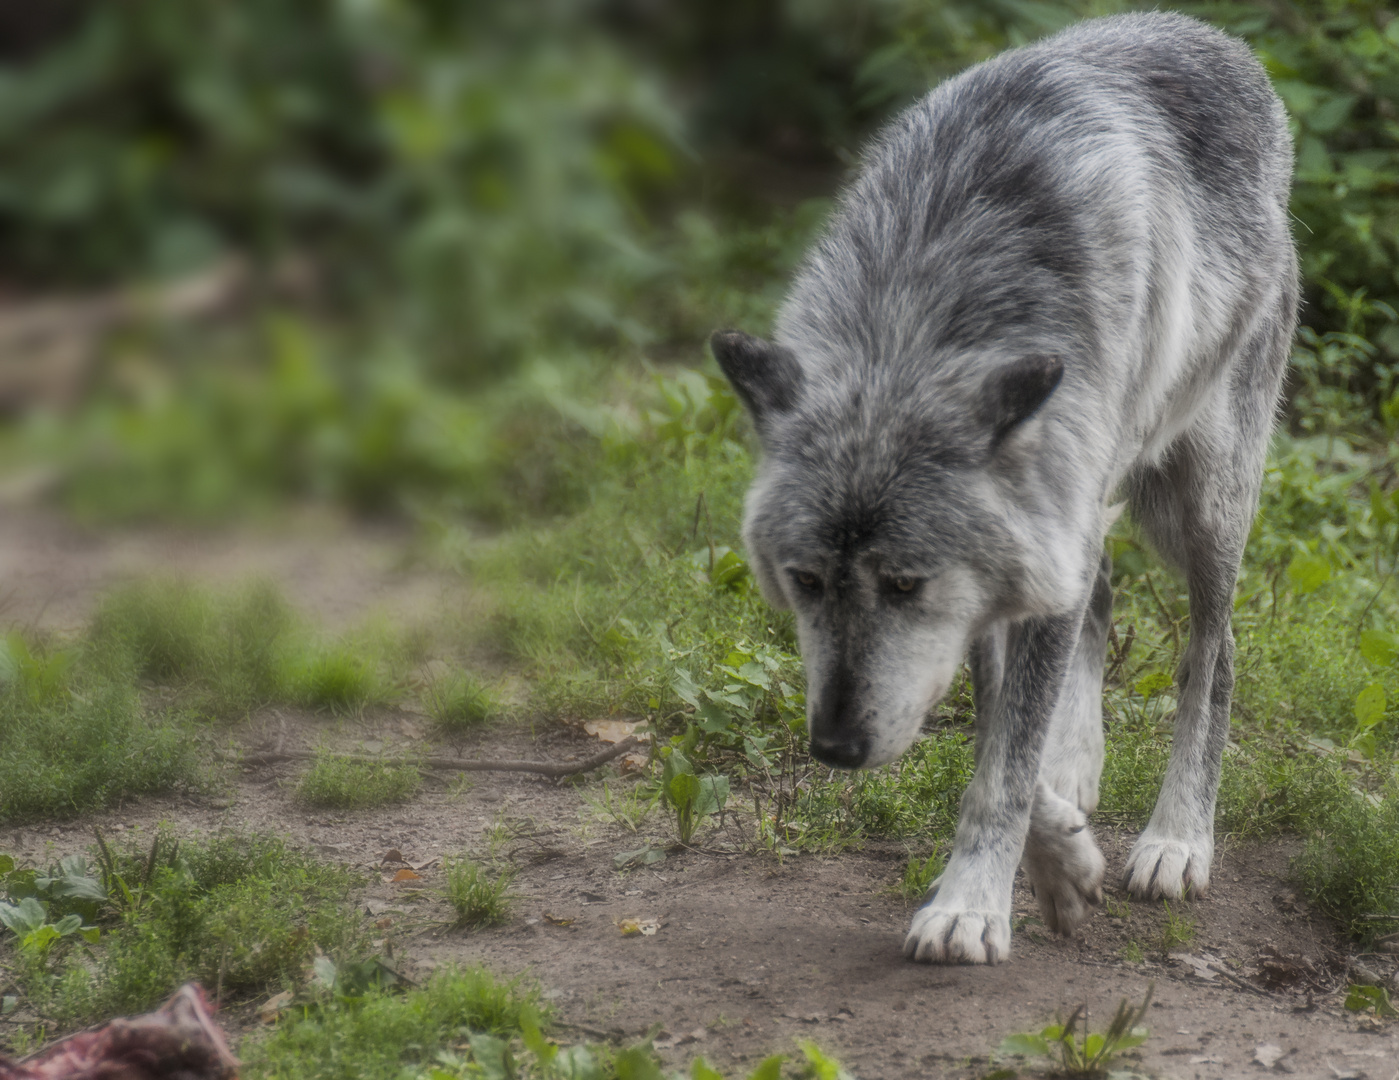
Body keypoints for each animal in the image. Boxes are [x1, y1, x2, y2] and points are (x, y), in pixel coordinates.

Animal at [716, 12, 1292, 968]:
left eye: (903, 584)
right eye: (802, 581)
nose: (833, 748)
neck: (919, 311)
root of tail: (1213, 36)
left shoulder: (1018, 553)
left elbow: (999, 770)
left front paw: (970, 907)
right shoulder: (1012, 564)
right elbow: (1002, 735)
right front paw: (1057, 857)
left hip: (1198, 506)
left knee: (1212, 657)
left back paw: (1177, 839)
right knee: (1100, 599)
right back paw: (1075, 766)